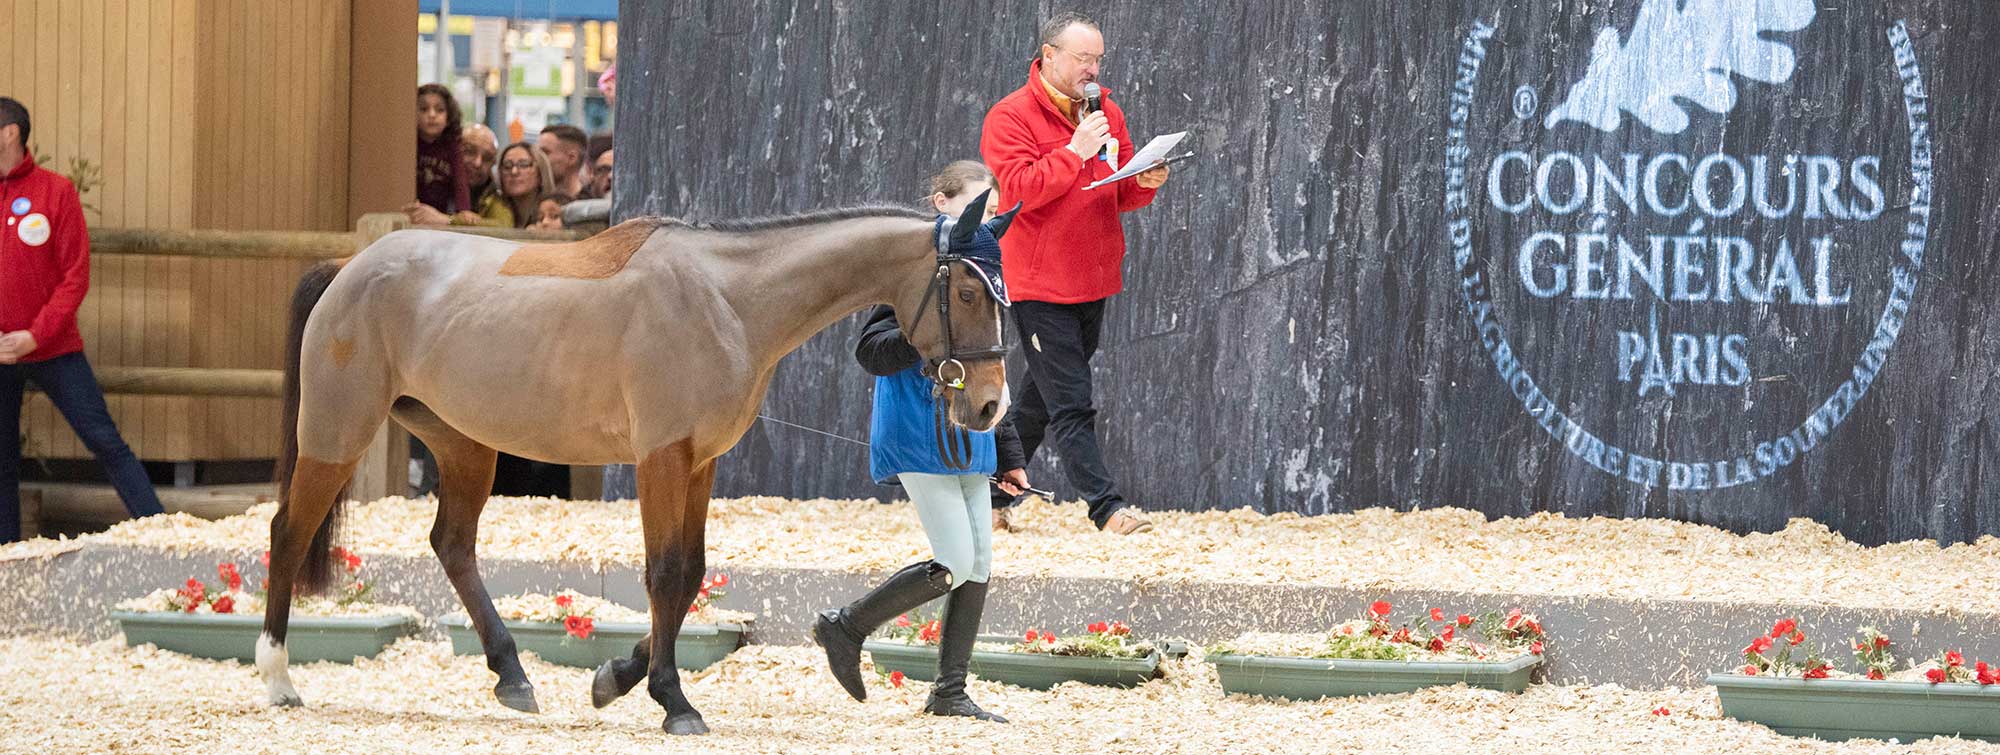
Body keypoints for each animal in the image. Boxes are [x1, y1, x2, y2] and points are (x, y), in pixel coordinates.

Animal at [256, 195, 1016, 739]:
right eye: (968, 292)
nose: (988, 405)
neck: (729, 301)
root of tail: (349, 268)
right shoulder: (662, 457)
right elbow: (665, 573)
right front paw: (673, 701)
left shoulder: (701, 462)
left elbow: (691, 574)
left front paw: (617, 678)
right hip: (336, 435)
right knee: (289, 534)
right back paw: (277, 678)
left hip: (464, 444)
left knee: (452, 544)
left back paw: (513, 677)